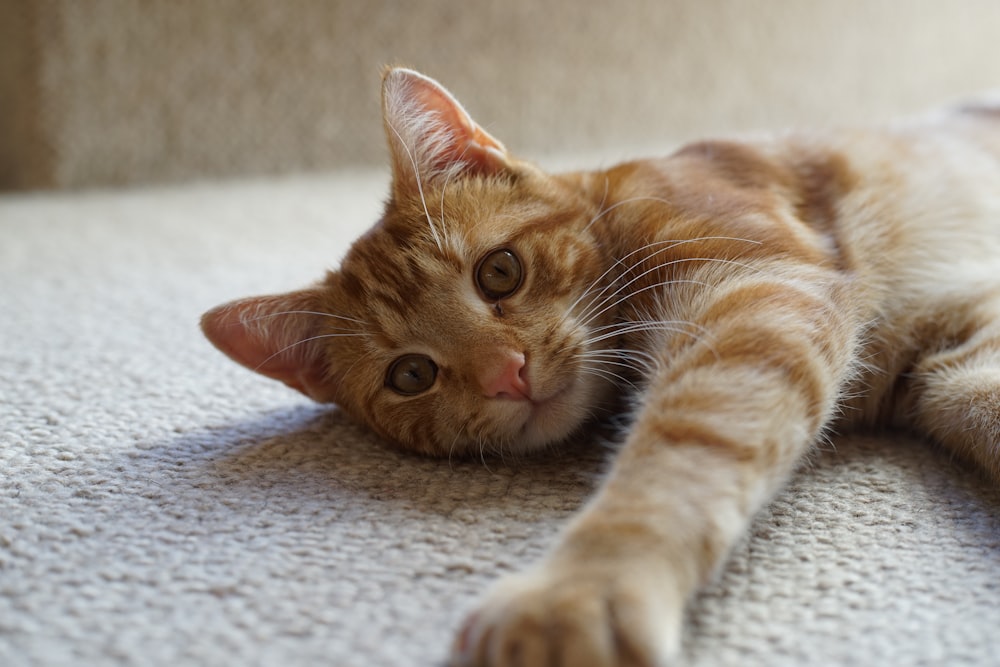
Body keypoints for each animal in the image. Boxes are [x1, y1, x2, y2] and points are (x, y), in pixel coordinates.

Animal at [201, 69, 1000, 667]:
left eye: (499, 272)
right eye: (410, 376)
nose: (507, 373)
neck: (613, 210)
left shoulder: (761, 295)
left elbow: (676, 457)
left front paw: (581, 589)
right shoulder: (944, 363)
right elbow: (974, 400)